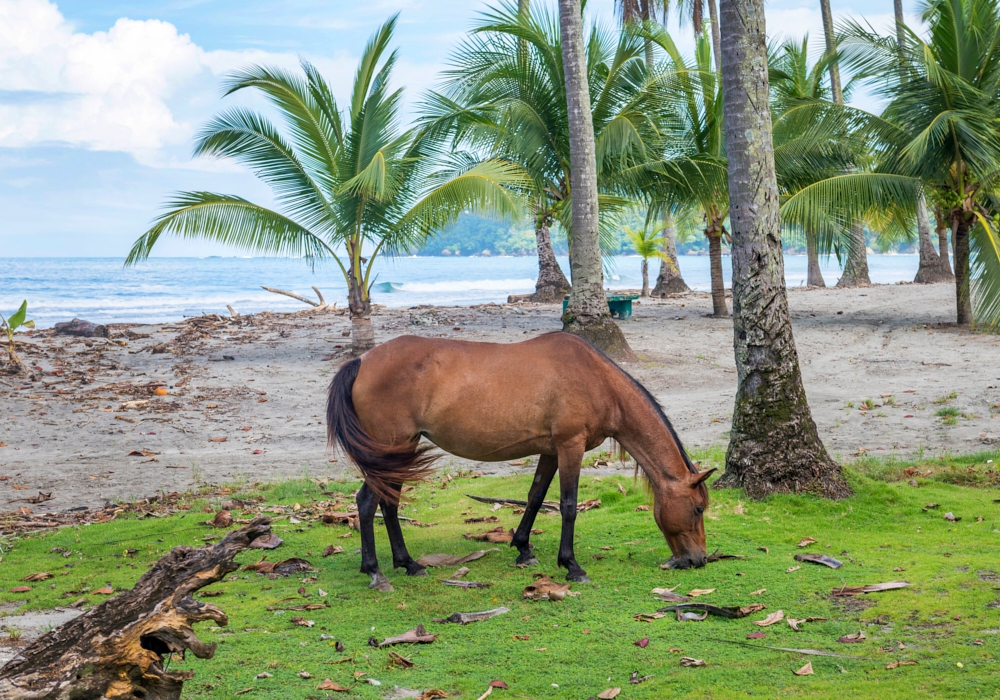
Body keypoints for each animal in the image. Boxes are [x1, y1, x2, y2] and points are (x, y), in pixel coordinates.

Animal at [328, 334, 712, 592]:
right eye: (697, 509)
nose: (698, 560)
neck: (595, 378)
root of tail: (362, 361)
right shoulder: (570, 446)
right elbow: (568, 505)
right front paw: (572, 565)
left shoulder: (551, 450)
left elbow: (536, 496)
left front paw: (523, 549)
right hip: (393, 448)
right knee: (368, 503)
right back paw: (375, 571)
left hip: (400, 452)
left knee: (388, 504)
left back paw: (408, 564)